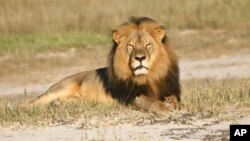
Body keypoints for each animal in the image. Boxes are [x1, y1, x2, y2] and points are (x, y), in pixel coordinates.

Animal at [21, 17, 181, 115]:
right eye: (131, 46)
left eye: (148, 45)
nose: (140, 58)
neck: (148, 76)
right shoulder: (129, 96)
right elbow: (148, 101)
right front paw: (165, 108)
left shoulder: (168, 88)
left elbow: (174, 98)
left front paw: (172, 104)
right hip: (60, 88)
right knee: (31, 103)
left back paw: (57, 105)